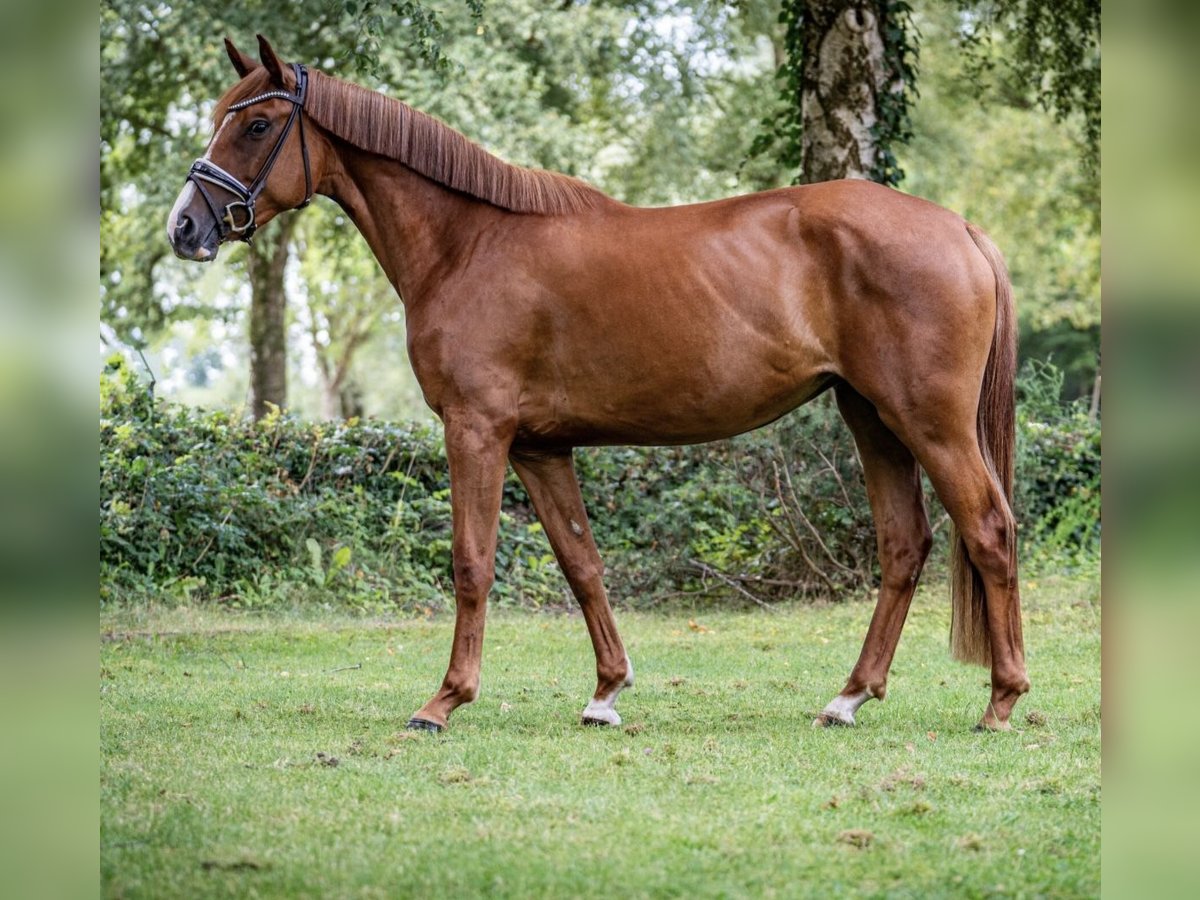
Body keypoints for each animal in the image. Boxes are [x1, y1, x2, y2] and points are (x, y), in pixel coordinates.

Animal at [171, 38, 1032, 734]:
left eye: (255, 126)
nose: (185, 226)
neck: (467, 244)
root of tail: (961, 230)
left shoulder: (476, 430)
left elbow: (471, 562)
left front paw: (443, 702)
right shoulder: (539, 448)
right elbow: (581, 562)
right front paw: (606, 693)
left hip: (928, 421)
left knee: (989, 529)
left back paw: (1000, 701)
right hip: (872, 418)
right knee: (905, 544)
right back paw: (848, 698)